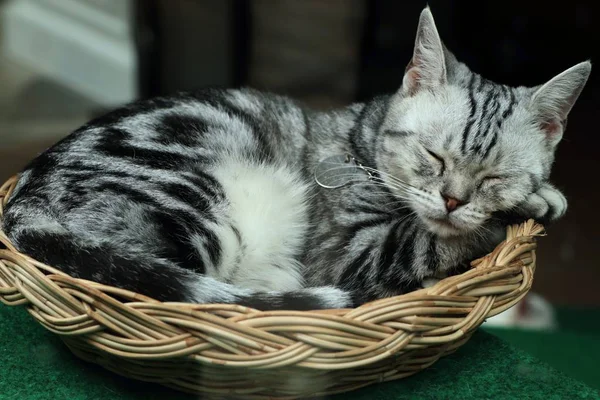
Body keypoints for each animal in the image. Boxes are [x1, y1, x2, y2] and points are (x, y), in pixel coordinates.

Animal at [1, 7, 592, 310]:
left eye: (494, 176)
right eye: (432, 156)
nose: (452, 201)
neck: (363, 139)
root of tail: (21, 208)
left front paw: (540, 196)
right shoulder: (348, 254)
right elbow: (429, 245)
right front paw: (519, 212)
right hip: (200, 211)